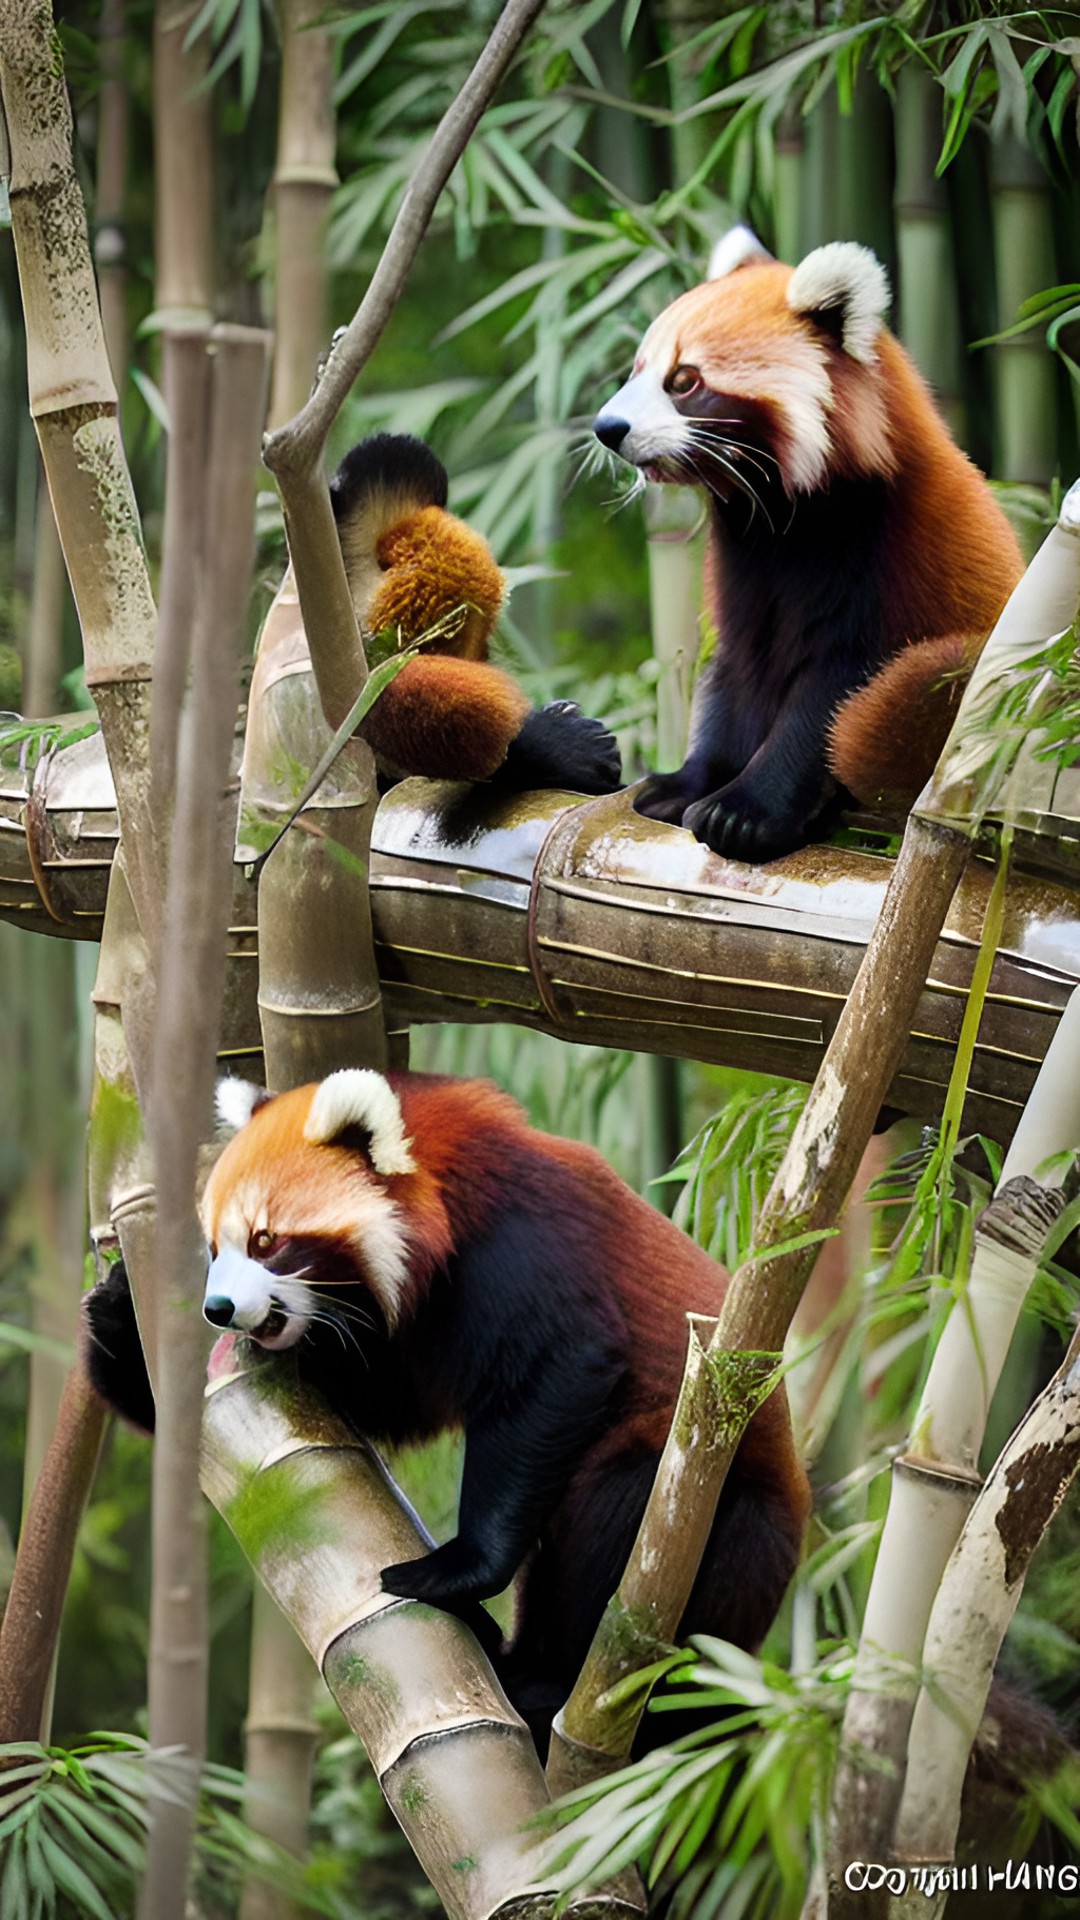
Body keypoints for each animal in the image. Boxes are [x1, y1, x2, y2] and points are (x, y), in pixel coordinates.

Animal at [85, 1075, 807, 1751]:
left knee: (620, 1516)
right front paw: (121, 1324)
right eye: (215, 1249)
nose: (220, 1309)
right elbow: (379, 1405)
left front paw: (460, 1567)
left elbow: (561, 1370)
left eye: (266, 1241)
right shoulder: (407, 1347)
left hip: (720, 1519)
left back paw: (546, 1683)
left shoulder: (523, 1250)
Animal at [591, 226, 1022, 864]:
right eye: (637, 370)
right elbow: (733, 676)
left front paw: (744, 813)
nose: (608, 429)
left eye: (684, 381)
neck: (786, 522)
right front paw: (688, 782)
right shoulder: (744, 569)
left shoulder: (881, 556)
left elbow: (831, 698)